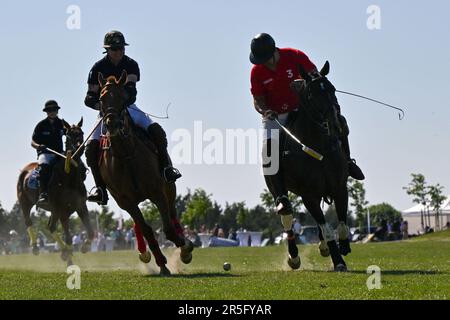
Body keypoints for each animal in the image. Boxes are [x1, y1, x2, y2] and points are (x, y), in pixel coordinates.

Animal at [97, 70, 192, 276]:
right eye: (101, 98)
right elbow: (147, 229)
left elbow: (168, 228)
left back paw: (184, 248)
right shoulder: (125, 200)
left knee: (172, 214)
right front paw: (161, 264)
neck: (126, 154)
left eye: (124, 97)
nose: (111, 123)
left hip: (169, 188)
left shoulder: (157, 191)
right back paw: (145, 253)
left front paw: (185, 246)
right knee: (138, 224)